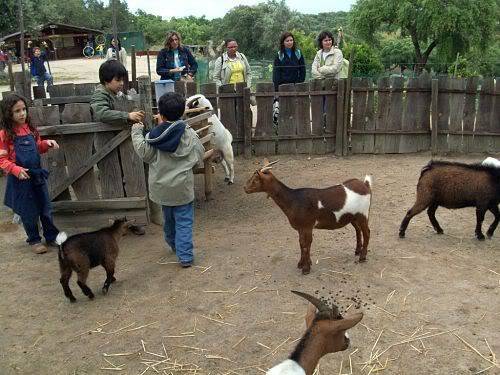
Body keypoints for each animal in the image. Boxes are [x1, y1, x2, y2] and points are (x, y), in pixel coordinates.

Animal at [244, 160, 374, 274]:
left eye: (255, 179)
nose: (245, 188)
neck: (293, 200)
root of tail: (365, 185)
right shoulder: (301, 228)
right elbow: (302, 244)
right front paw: (302, 263)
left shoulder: (307, 226)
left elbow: (306, 244)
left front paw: (306, 269)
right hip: (353, 216)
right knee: (358, 230)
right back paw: (357, 251)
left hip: (363, 214)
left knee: (367, 232)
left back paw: (362, 257)